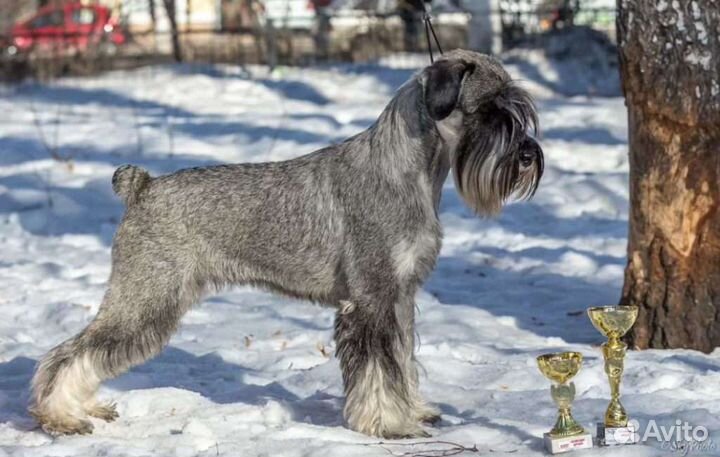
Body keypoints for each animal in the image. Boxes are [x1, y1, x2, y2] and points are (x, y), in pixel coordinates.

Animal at [31, 50, 544, 438]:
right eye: (489, 110)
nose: (527, 156)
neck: (407, 171)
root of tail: (143, 186)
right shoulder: (371, 301)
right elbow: (380, 372)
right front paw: (391, 425)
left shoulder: (398, 298)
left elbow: (402, 361)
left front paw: (415, 410)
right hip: (147, 299)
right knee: (72, 353)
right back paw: (62, 416)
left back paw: (83, 408)